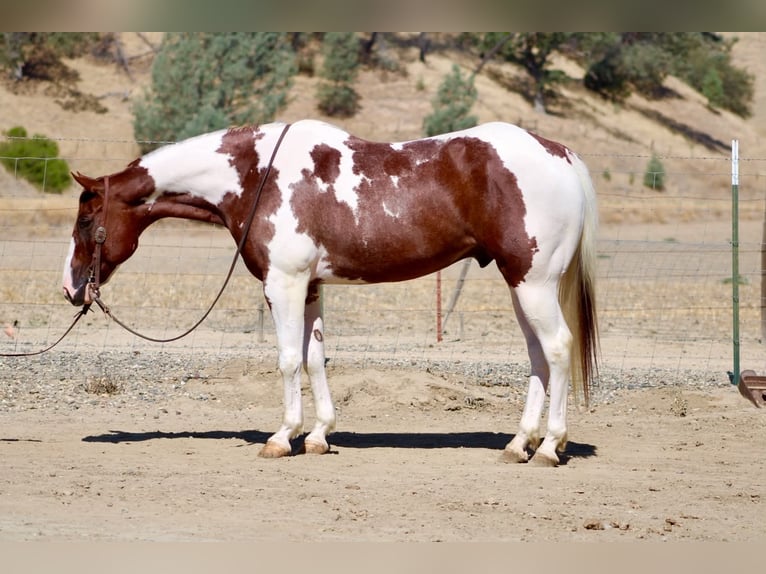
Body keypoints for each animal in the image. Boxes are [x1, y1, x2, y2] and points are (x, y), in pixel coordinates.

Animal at [62, 119, 598, 466]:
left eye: (87, 219)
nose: (70, 287)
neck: (258, 175)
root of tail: (562, 155)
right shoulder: (311, 287)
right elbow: (315, 358)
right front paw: (319, 435)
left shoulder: (283, 284)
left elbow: (286, 360)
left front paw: (283, 437)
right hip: (521, 285)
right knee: (537, 357)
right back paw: (518, 444)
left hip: (534, 283)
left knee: (557, 349)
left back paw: (548, 447)